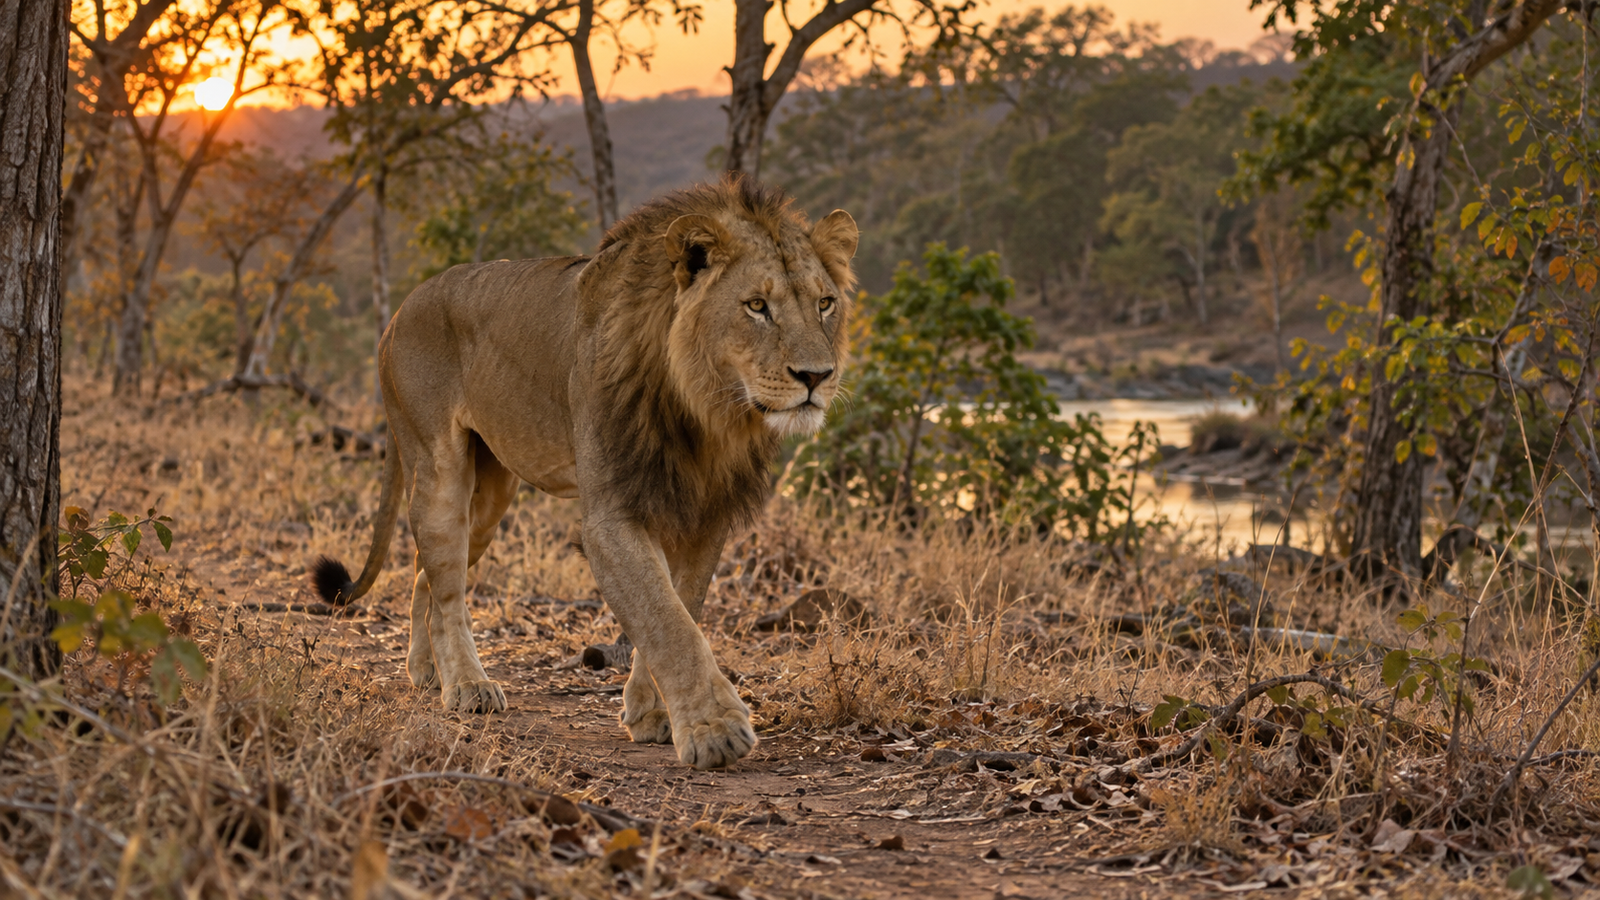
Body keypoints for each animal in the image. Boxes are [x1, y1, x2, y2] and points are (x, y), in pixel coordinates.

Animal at [311, 176, 857, 769]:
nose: (816, 376)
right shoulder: (610, 516)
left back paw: (428, 670)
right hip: (438, 467)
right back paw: (468, 686)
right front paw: (715, 730)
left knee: (425, 574)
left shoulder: (705, 514)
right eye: (757, 306)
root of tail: (399, 312)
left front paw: (651, 713)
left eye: (825, 303)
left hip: (490, 496)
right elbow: (666, 620)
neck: (708, 411)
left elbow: (679, 608)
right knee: (447, 584)